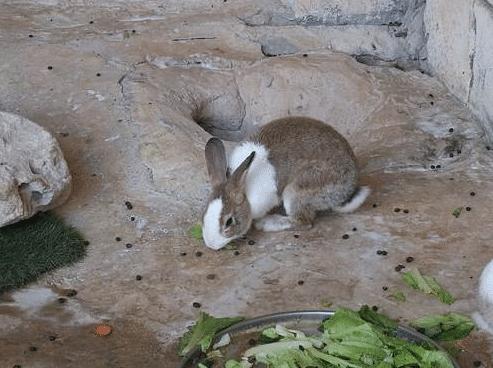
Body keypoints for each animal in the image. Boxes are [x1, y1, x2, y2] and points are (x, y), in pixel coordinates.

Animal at [201, 117, 368, 250]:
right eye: (204, 213)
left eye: (229, 221)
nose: (211, 244)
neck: (246, 190)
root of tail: (350, 187)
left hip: (296, 191)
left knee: (303, 222)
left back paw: (267, 223)